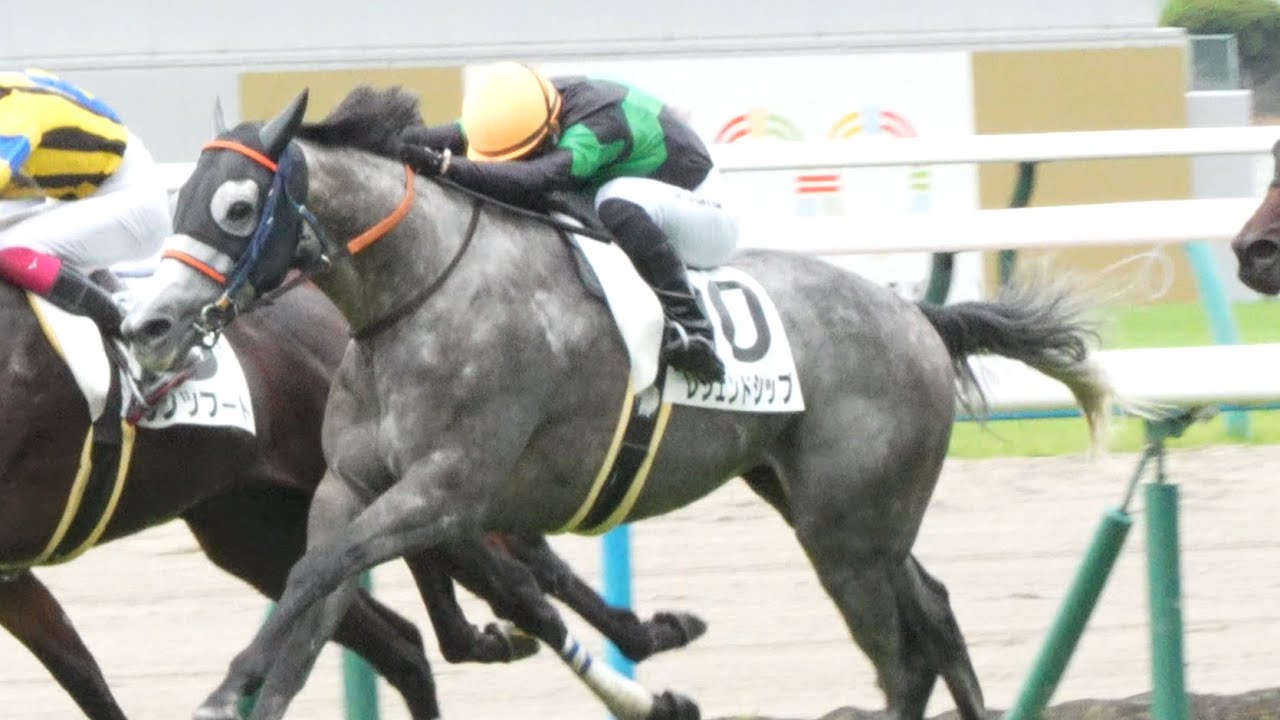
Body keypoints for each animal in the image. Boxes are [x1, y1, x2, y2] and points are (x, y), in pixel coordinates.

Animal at [0, 278, 704, 719]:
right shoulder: (13, 581)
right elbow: (85, 680)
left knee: (516, 586)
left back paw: (644, 658)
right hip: (256, 532)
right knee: (410, 641)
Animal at [121, 86, 1114, 720]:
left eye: (238, 207)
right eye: (183, 198)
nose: (150, 323)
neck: (419, 296)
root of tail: (916, 315)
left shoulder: (450, 491)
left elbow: (316, 578)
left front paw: (225, 687)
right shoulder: (350, 489)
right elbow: (311, 605)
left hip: (846, 532)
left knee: (902, 659)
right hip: (834, 508)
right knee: (936, 616)